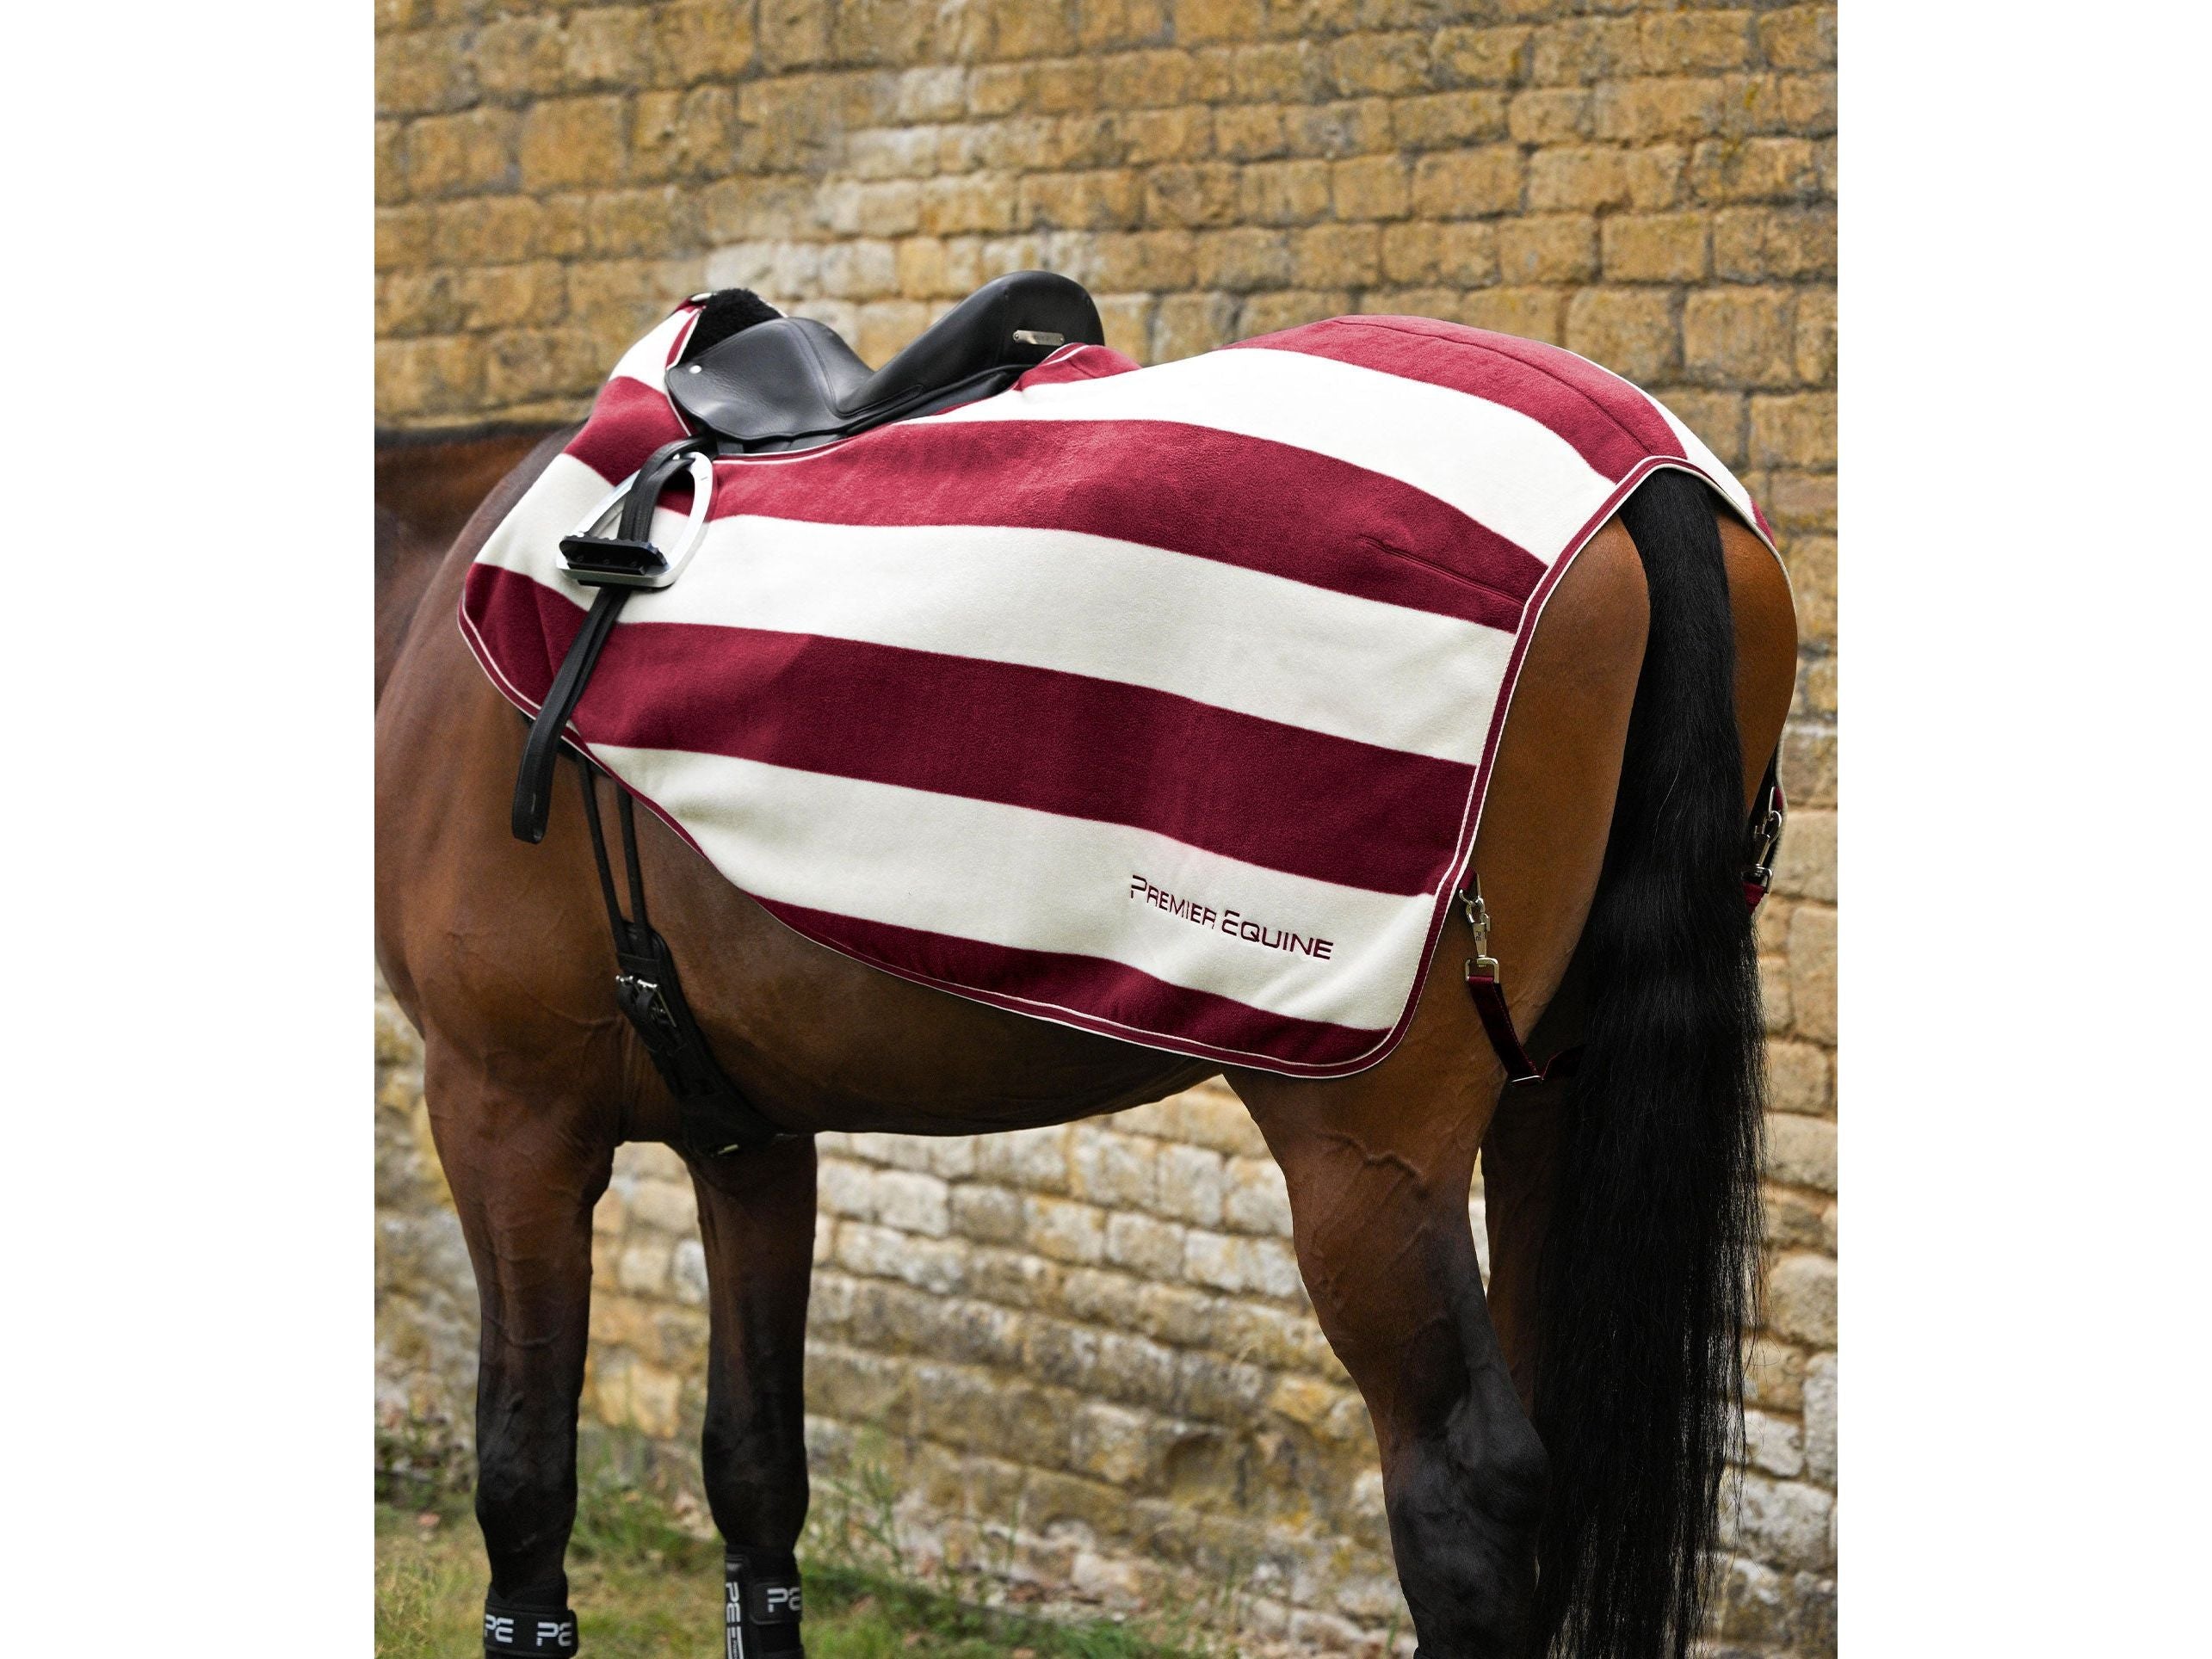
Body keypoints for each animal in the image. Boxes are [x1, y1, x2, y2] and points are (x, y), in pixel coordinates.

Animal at [374, 290, 1797, 1659]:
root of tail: (1643, 477)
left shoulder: (503, 1115)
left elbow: (523, 1486)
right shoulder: (751, 1139)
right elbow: (757, 1480)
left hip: (1370, 1155)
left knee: (1470, 1492)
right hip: (1549, 1102)